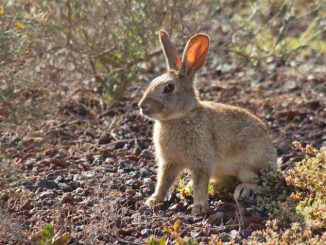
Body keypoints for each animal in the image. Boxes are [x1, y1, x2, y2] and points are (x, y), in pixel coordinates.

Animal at [137, 30, 276, 214]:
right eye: (152, 82)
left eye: (168, 88)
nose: (142, 106)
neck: (179, 117)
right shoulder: (169, 162)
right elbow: (164, 182)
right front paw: (153, 201)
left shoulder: (202, 161)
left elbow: (200, 183)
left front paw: (199, 207)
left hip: (249, 165)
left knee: (257, 181)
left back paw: (243, 190)